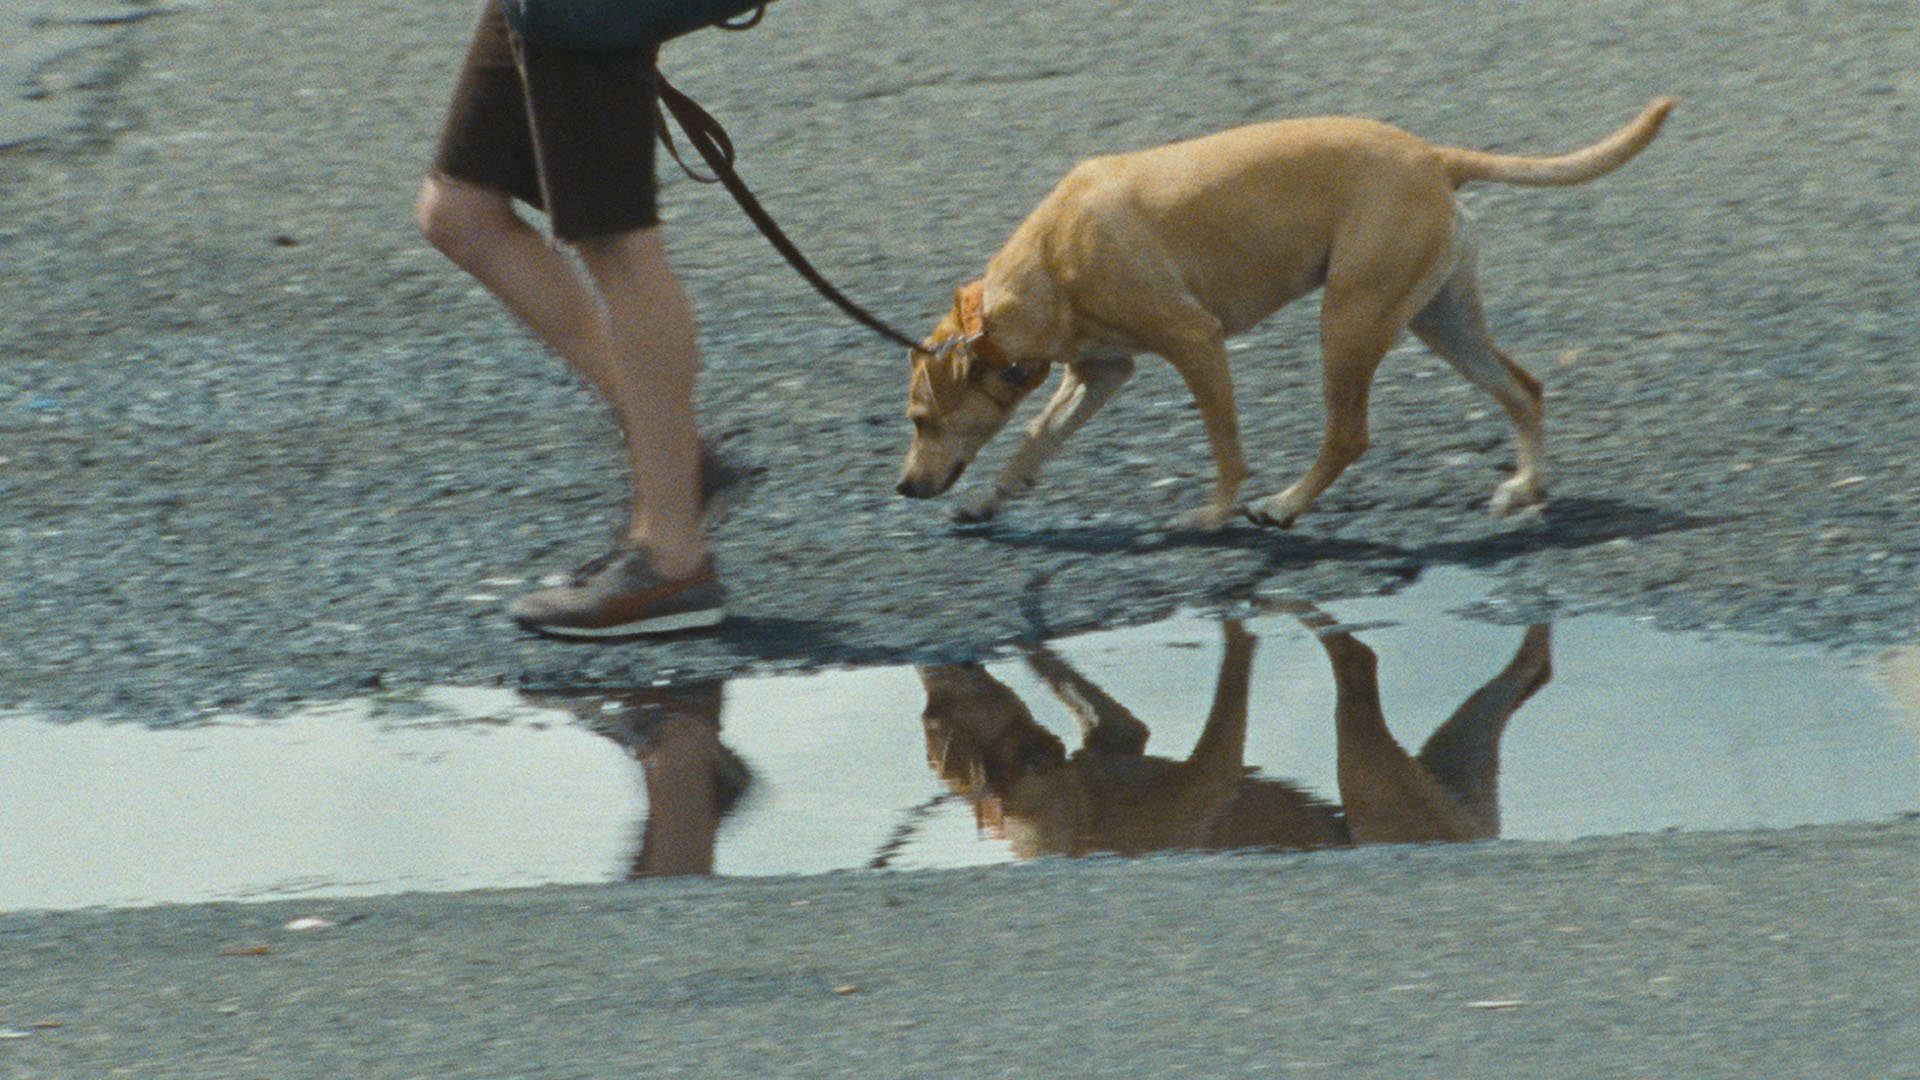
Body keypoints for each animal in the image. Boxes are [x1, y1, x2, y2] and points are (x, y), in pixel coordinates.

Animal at [890, 98, 1674, 526]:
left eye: (921, 420)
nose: (902, 486)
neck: (1048, 263)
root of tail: (1433, 157)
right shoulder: (1102, 371)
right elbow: (1037, 438)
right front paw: (991, 499)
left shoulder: (1196, 342)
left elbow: (1226, 448)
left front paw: (1213, 515)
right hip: (1438, 320)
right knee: (1524, 388)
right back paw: (1526, 485)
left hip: (1350, 318)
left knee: (1349, 434)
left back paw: (1287, 505)